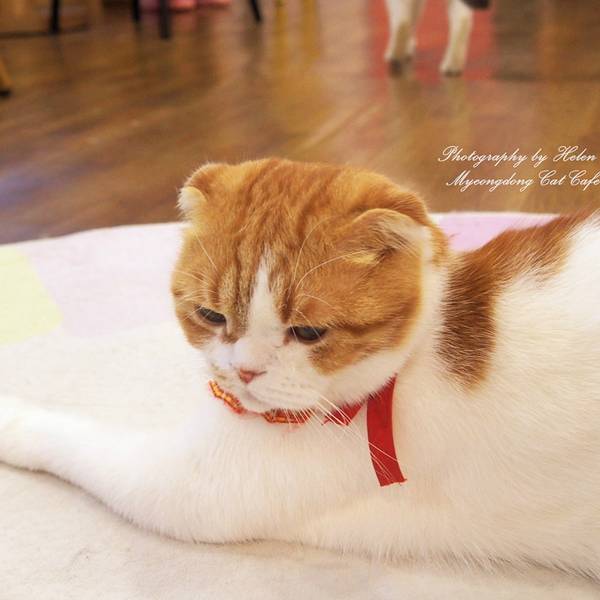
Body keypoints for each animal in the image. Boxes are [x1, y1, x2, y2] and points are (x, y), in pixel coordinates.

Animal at [1, 158, 599, 577]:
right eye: (211, 315)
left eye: (309, 333)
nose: (244, 373)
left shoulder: (185, 487)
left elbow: (75, 437)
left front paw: (13, 420)